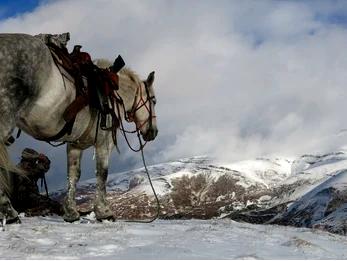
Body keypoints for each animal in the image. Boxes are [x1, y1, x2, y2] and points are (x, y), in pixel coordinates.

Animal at [0, 33, 158, 221]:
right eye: (154, 101)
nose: (154, 132)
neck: (114, 93)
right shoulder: (104, 143)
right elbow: (102, 173)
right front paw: (104, 211)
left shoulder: (75, 144)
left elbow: (73, 175)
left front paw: (71, 212)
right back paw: (9, 212)